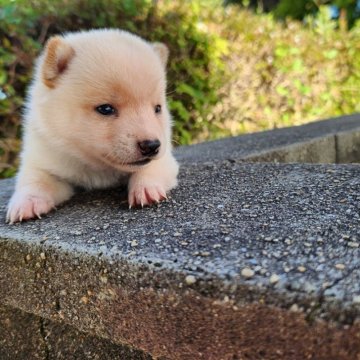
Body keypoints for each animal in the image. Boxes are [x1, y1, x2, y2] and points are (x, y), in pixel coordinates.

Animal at [5, 29, 179, 224]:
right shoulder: (44, 157)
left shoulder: (164, 155)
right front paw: (27, 202)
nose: (151, 145)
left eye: (157, 108)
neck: (97, 166)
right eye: (105, 109)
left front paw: (146, 188)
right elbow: (36, 180)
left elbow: (151, 167)